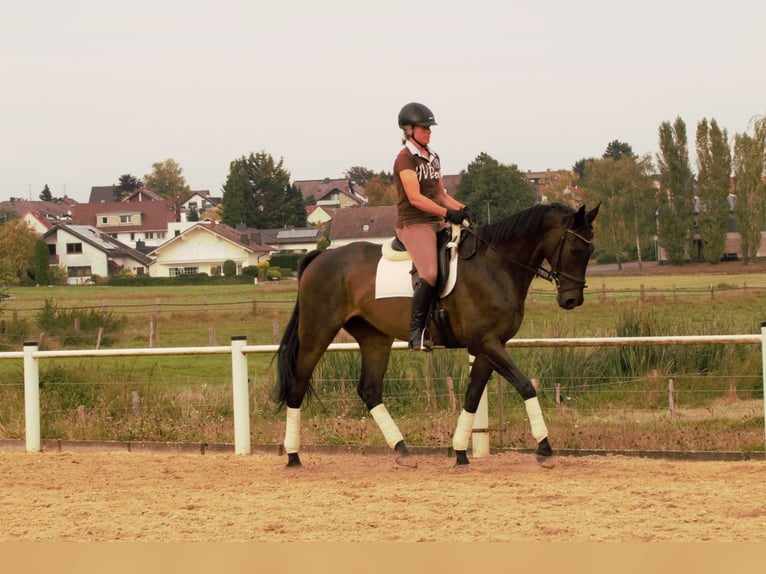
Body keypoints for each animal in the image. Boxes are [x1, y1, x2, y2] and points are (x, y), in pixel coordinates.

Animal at [274, 202, 600, 468]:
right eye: (574, 248)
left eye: (591, 251)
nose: (572, 300)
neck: (496, 265)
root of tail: (321, 257)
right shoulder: (488, 342)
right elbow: (526, 386)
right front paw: (544, 448)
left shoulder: (488, 346)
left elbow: (472, 396)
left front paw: (460, 453)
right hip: (318, 333)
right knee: (298, 385)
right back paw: (293, 456)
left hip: (374, 337)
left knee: (369, 390)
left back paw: (402, 451)